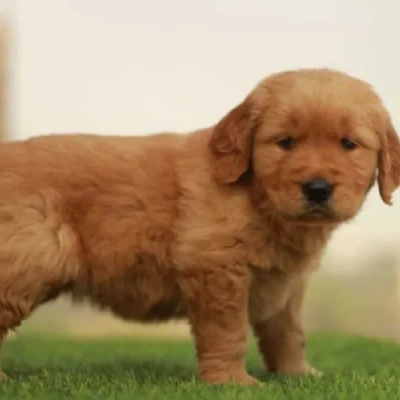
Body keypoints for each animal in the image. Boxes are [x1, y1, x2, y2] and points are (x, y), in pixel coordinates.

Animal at [0, 69, 396, 384]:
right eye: (285, 142)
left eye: (348, 144)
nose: (317, 188)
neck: (257, 197)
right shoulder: (217, 267)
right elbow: (227, 331)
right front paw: (232, 382)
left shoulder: (286, 280)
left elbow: (288, 331)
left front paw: (297, 374)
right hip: (28, 261)